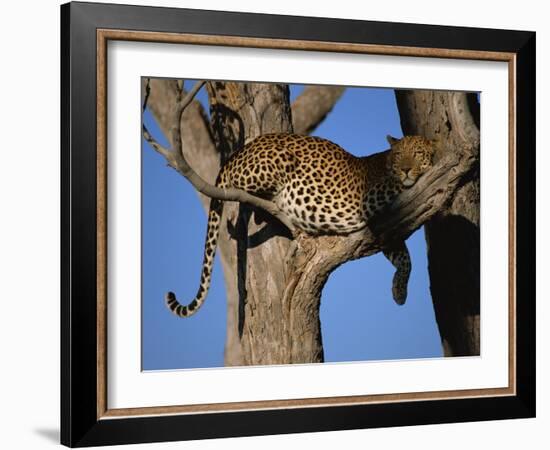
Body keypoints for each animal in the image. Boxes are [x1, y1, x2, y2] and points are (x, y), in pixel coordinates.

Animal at [166, 132, 438, 318]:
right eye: (399, 155)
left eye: (417, 153)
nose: (406, 169)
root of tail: (239, 152)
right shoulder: (370, 197)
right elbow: (399, 187)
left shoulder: (386, 228)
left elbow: (405, 259)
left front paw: (399, 292)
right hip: (277, 160)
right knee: (236, 183)